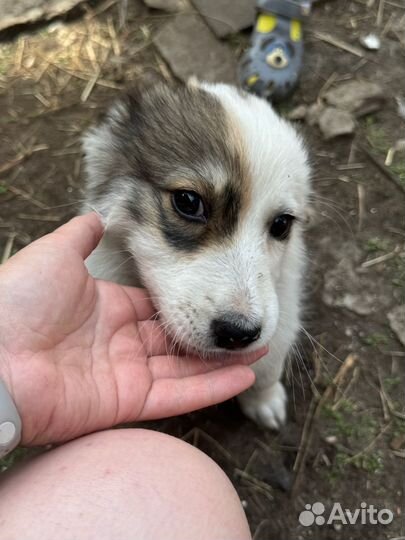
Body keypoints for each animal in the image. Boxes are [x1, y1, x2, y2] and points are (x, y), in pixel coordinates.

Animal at [81, 78, 310, 428]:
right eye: (188, 201)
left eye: (282, 224)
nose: (239, 334)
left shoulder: (282, 322)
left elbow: (268, 370)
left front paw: (265, 401)